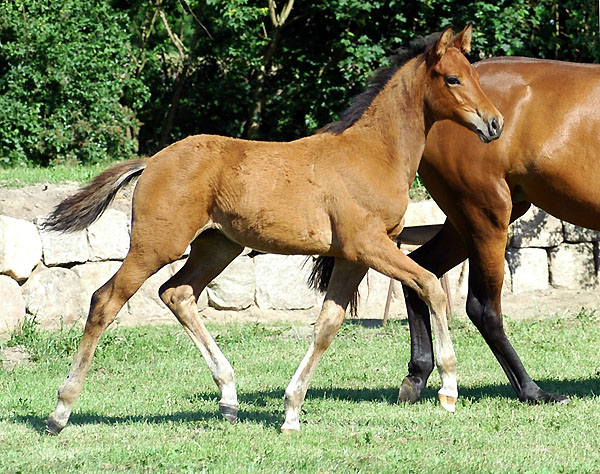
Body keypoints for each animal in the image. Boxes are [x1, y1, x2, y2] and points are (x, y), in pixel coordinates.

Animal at [43, 25, 502, 434]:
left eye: (476, 75)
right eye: (453, 78)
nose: (494, 123)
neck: (373, 154)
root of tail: (152, 160)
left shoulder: (354, 256)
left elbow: (328, 325)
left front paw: (292, 412)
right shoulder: (368, 246)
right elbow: (431, 285)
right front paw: (448, 388)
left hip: (217, 246)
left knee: (177, 293)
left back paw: (228, 399)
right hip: (156, 245)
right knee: (105, 300)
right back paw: (60, 411)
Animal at [396, 54, 596, 404]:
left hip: (467, 221)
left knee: (420, 272)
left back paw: (417, 376)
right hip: (486, 216)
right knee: (483, 307)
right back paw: (533, 390)